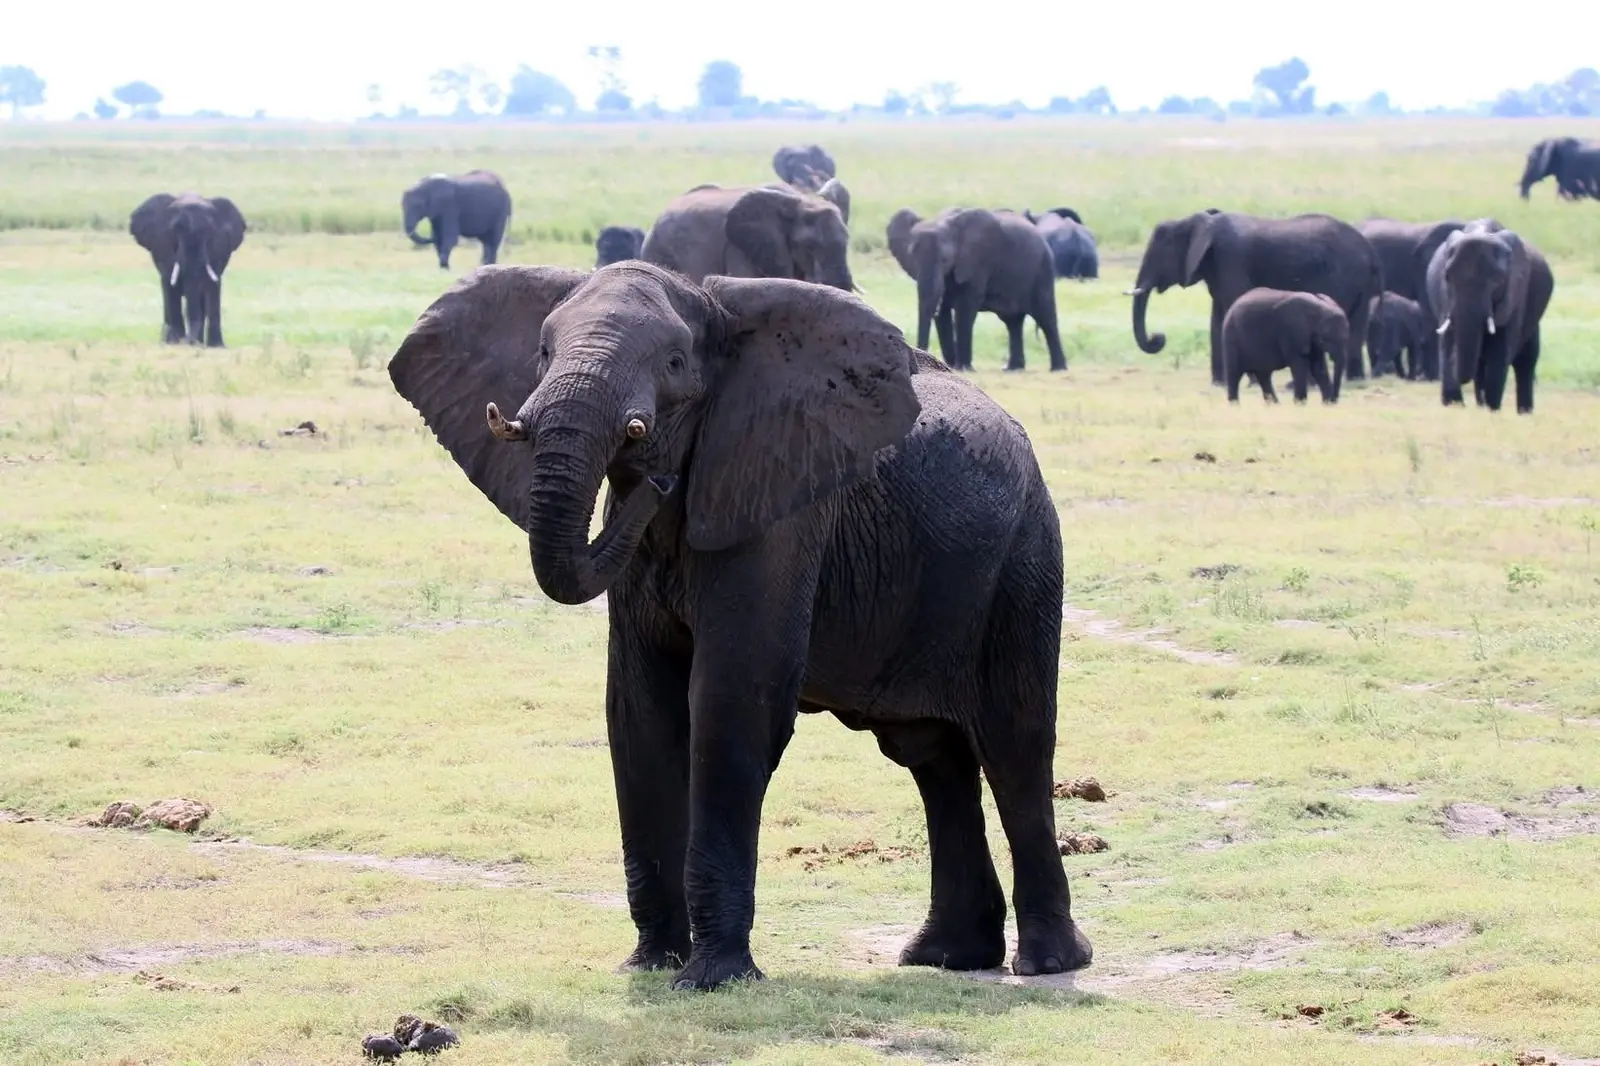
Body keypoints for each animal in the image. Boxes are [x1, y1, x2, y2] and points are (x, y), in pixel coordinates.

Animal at [129, 192, 246, 347]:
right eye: (176, 230)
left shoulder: (220, 249)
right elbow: (170, 284)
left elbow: (213, 286)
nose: (188, 341)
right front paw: (174, 342)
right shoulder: (162, 246)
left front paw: (217, 347)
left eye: (210, 232)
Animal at [387, 261, 1092, 991]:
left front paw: (710, 980)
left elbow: (730, 707)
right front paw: (649, 966)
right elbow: (639, 713)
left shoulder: (780, 514)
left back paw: (1047, 963)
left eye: (674, 362)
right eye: (544, 353)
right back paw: (946, 957)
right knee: (931, 755)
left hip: (1024, 558)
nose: (654, 480)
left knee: (1014, 747)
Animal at [887, 207, 1067, 372]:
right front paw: (951, 367)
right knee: (1013, 322)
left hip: (1043, 271)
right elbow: (943, 313)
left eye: (945, 260)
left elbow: (965, 309)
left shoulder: (978, 262)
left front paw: (963, 369)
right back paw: (1012, 369)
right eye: (912, 258)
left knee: (1046, 318)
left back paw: (1057, 369)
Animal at [1129, 210, 1383, 390]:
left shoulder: (1231, 259)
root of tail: (1370, 252)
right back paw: (1354, 382)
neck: (1199, 222)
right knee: (1355, 330)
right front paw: (1220, 384)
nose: (1157, 338)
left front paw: (1249, 381)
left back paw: (1298, 385)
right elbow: (1218, 319)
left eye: (1162, 249)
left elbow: (1234, 309)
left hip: (1342, 276)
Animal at [1426, 219, 1553, 413]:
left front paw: (1492, 409)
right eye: (1447, 277)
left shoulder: (1516, 292)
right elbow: (1447, 342)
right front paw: (1454, 405)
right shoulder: (1445, 299)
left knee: (1526, 360)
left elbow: (1500, 350)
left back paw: (1523, 412)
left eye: (1497, 281)